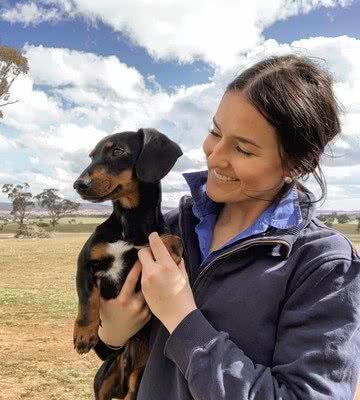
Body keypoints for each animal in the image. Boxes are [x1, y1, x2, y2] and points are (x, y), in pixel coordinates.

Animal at [73, 129, 184, 400]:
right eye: (92, 156)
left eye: (117, 151)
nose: (78, 184)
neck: (129, 226)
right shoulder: (85, 262)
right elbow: (87, 299)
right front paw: (84, 334)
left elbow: (170, 238)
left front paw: (170, 246)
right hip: (103, 378)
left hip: (136, 382)